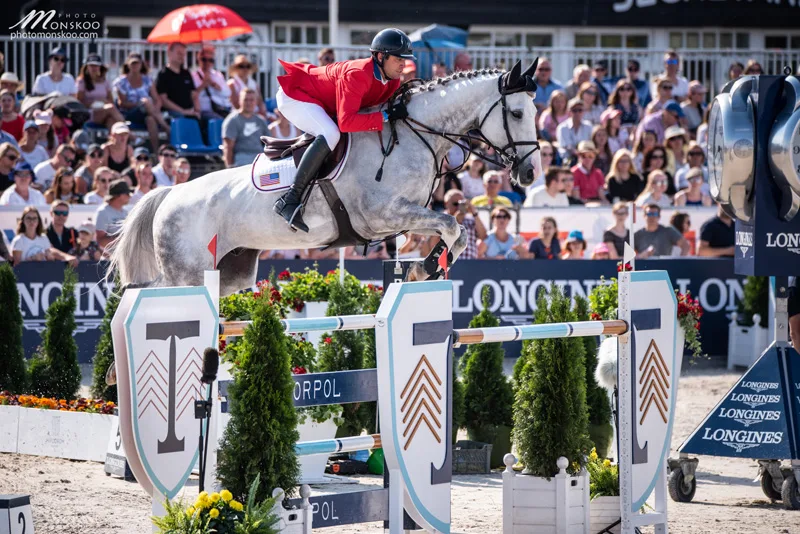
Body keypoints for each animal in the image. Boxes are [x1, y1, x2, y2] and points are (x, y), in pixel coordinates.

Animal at [106, 61, 540, 302]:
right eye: (518, 113)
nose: (531, 173)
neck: (411, 134)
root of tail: (172, 193)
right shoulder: (382, 215)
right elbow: (450, 224)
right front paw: (427, 268)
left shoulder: (404, 218)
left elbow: (455, 232)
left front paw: (428, 267)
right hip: (188, 272)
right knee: (148, 291)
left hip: (229, 272)